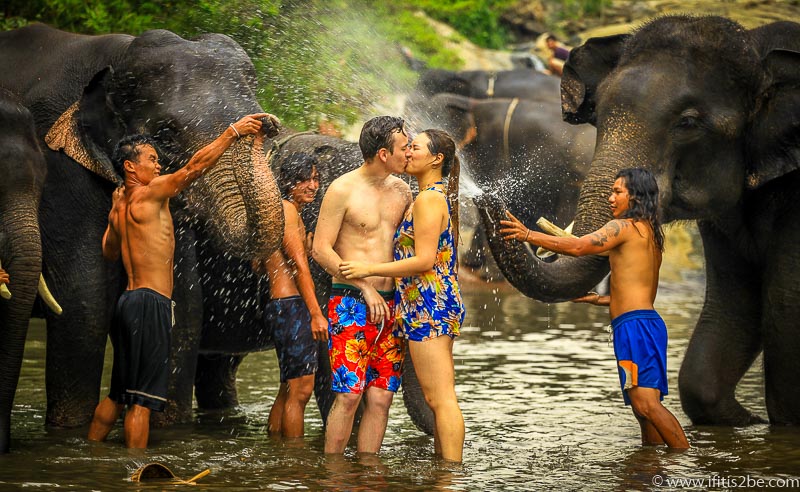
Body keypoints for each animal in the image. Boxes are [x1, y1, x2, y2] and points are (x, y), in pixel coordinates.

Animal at [472, 14, 800, 422]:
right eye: (598, 115)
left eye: (689, 123)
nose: (485, 196)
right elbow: (727, 320)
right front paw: (744, 421)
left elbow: (785, 319)